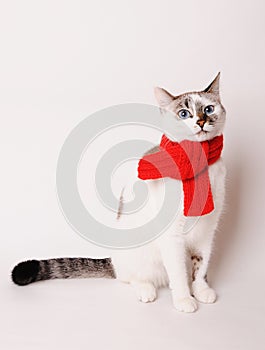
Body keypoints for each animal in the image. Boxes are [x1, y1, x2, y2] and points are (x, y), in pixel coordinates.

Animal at [10, 72, 225, 314]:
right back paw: (145, 289)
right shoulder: (172, 238)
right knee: (129, 277)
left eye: (208, 109)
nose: (201, 121)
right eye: (184, 114)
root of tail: (113, 260)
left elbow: (201, 266)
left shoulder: (208, 231)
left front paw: (201, 290)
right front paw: (184, 299)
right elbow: (179, 273)